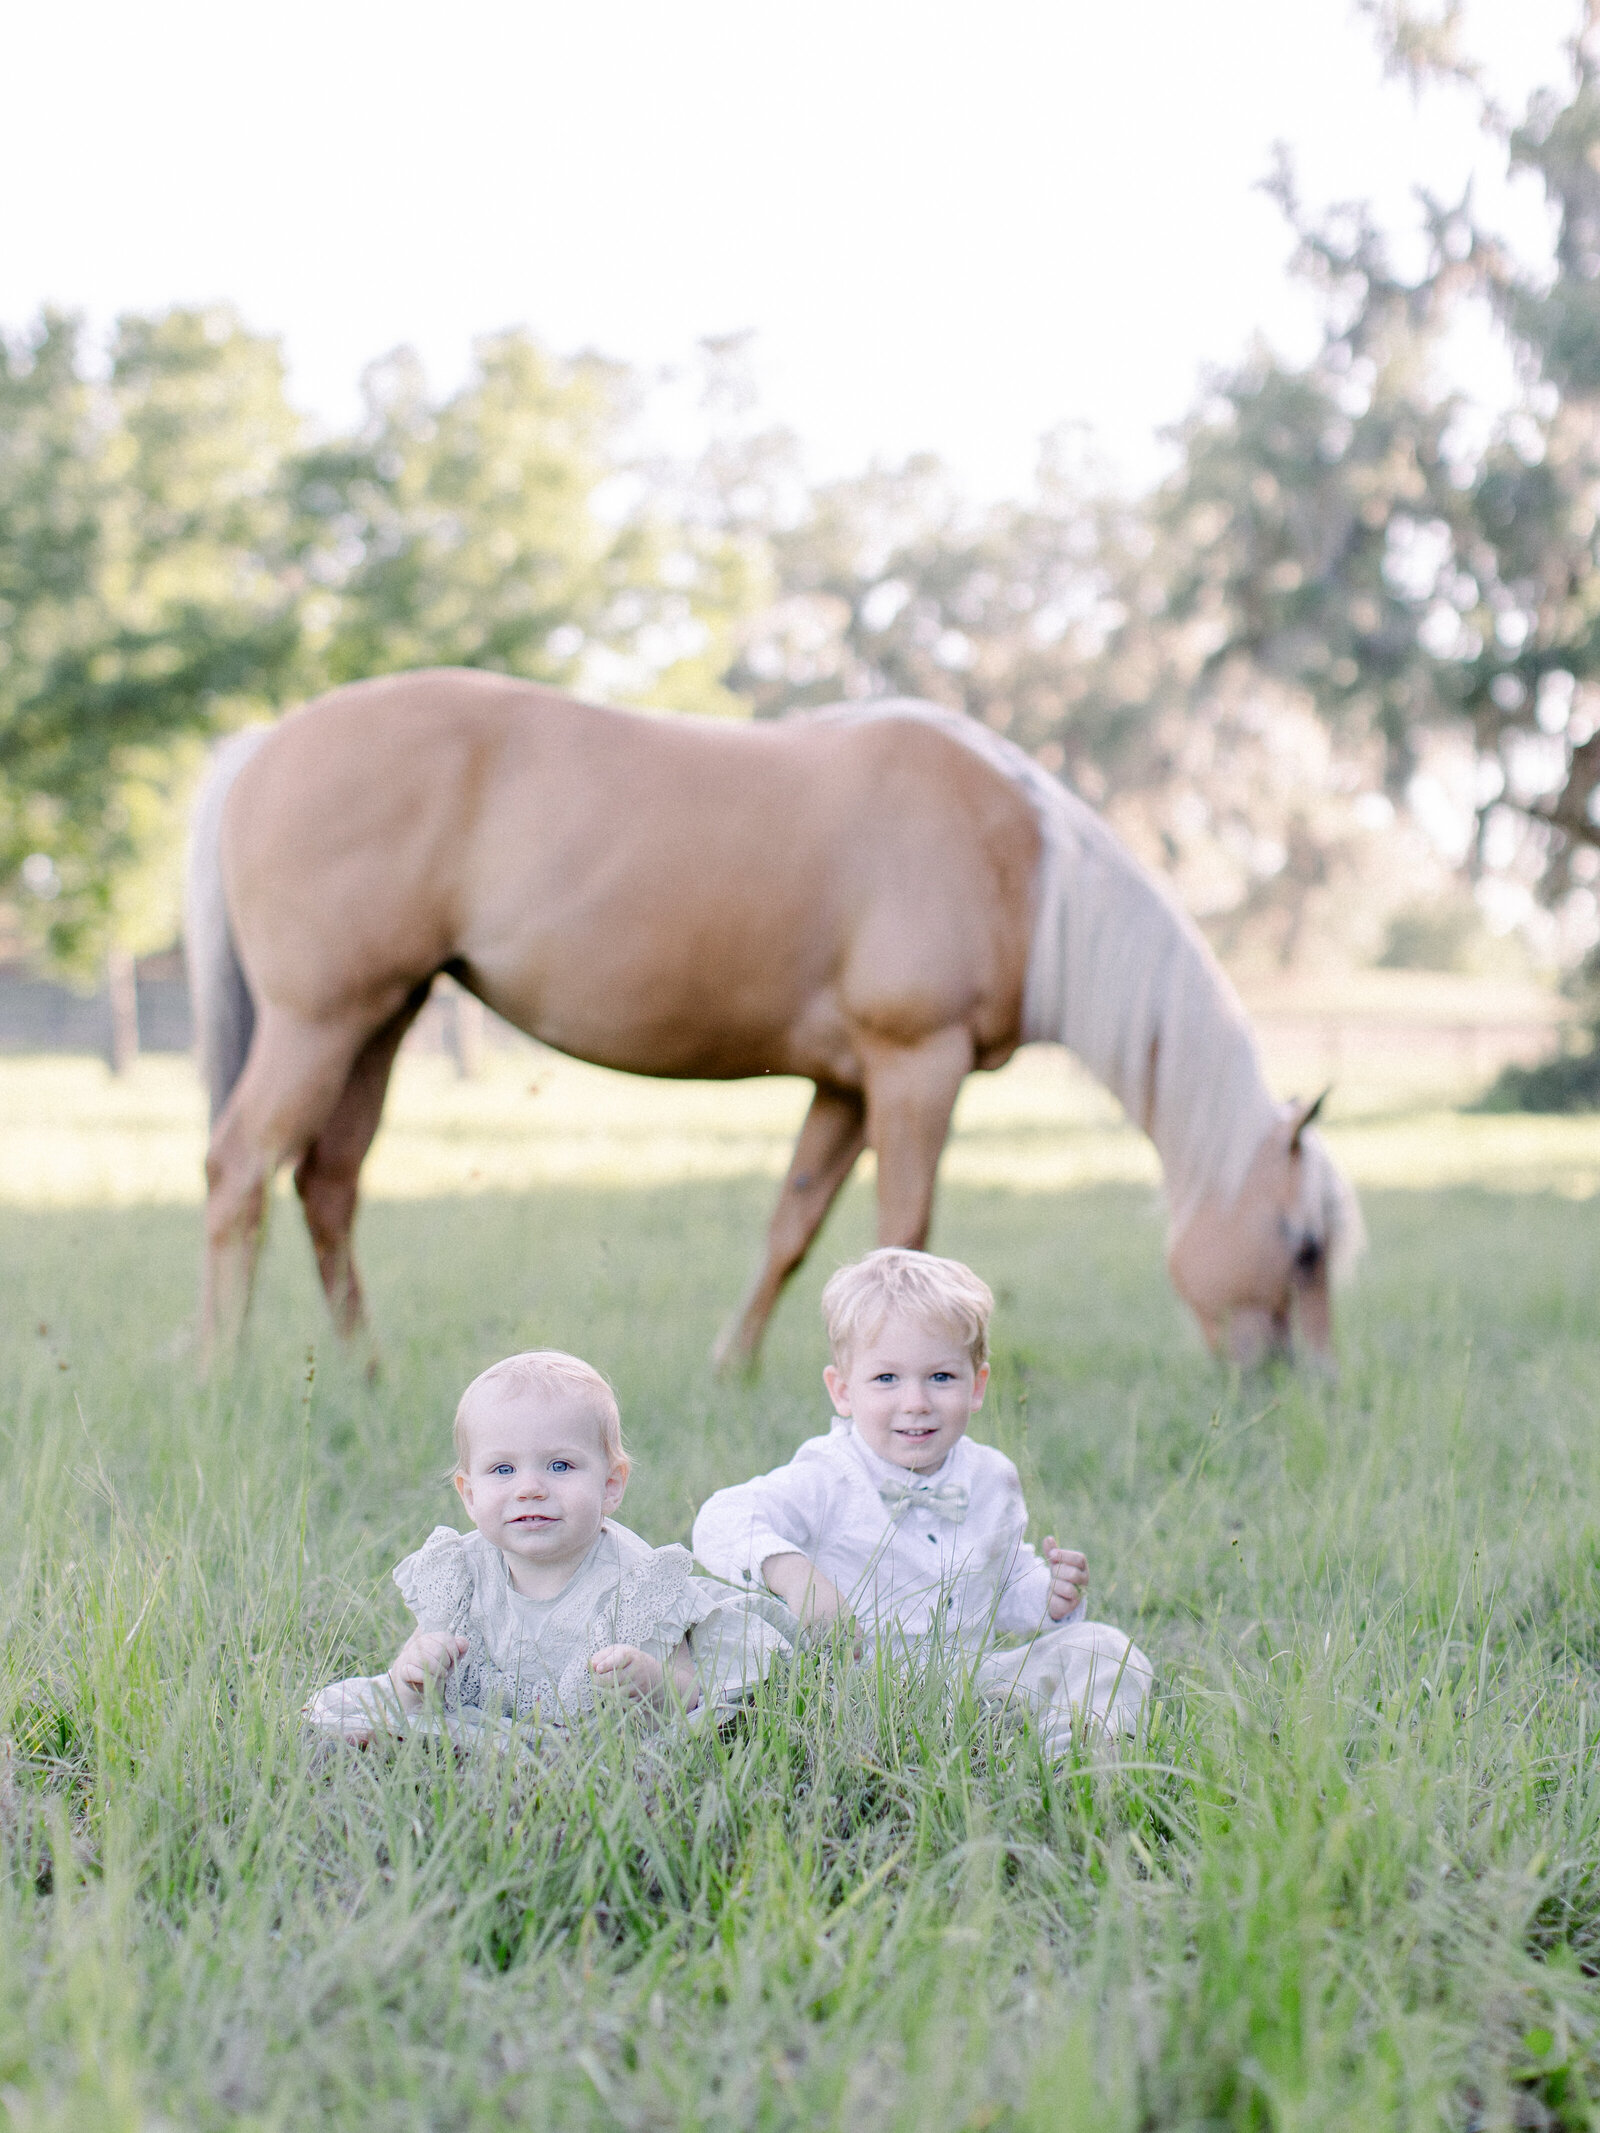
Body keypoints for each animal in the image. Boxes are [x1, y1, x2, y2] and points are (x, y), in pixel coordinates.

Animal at [185, 667, 1361, 1369]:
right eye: (1301, 1245)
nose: (1292, 1387)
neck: (1022, 867)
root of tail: (258, 745)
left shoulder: (843, 1086)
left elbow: (792, 1233)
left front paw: (735, 1372)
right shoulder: (913, 1067)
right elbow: (906, 1231)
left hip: (380, 1021)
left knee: (328, 1182)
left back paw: (363, 1373)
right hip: (320, 1019)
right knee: (241, 1166)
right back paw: (224, 1369)